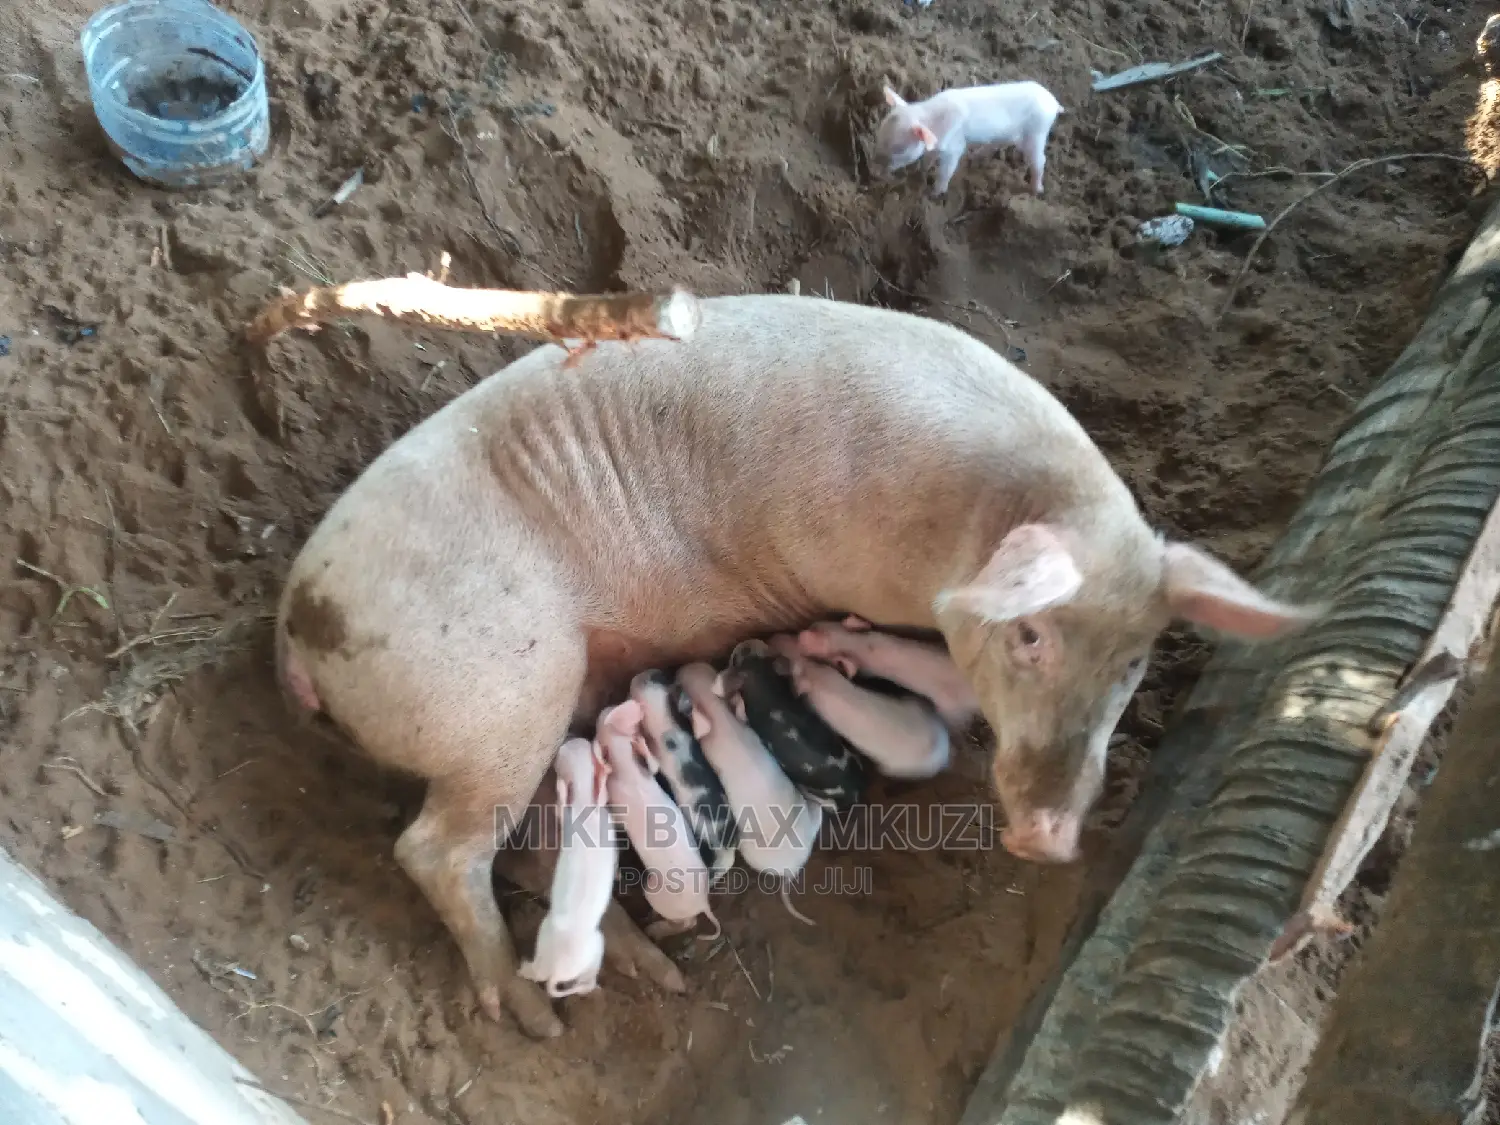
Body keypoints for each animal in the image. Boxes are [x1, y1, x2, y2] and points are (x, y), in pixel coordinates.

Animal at [516, 737, 616, 998]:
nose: (570, 736)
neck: (585, 808)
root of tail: (558, 971)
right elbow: (602, 793)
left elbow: (564, 810)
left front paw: (562, 789)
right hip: (593, 945)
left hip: (552, 934)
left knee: (542, 974)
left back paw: (526, 969)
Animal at [596, 700, 720, 942]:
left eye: (604, 717)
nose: (606, 707)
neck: (626, 769)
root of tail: (704, 903)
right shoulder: (647, 772)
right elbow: (653, 767)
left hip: (654, 891)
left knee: (688, 923)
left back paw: (651, 929)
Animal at [723, 638, 867, 811]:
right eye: (767, 654)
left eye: (734, 660)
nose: (747, 644)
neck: (764, 685)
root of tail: (856, 792)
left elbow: (741, 715)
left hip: (825, 796)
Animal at [872, 80, 1064, 197]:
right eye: (879, 135)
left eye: (899, 148)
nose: (876, 172)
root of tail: (1054, 102)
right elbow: (927, 159)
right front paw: (921, 171)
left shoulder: (955, 146)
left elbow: (946, 170)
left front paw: (934, 194)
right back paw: (975, 158)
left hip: (1037, 131)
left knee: (1040, 160)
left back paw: (1036, 190)